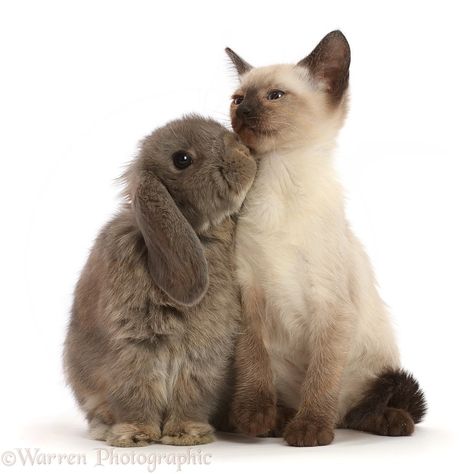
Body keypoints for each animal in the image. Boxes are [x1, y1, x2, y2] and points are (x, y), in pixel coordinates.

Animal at [63, 114, 256, 444]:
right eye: (182, 159)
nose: (244, 152)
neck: (198, 234)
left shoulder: (201, 357)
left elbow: (190, 397)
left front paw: (186, 434)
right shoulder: (133, 350)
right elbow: (135, 395)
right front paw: (136, 435)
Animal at [225, 31, 428, 446]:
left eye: (274, 96)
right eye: (237, 99)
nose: (243, 112)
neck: (279, 176)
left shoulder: (331, 306)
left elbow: (321, 379)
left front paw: (310, 431)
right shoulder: (248, 291)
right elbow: (254, 362)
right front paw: (252, 416)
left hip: (369, 369)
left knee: (358, 408)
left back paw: (384, 422)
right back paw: (276, 420)